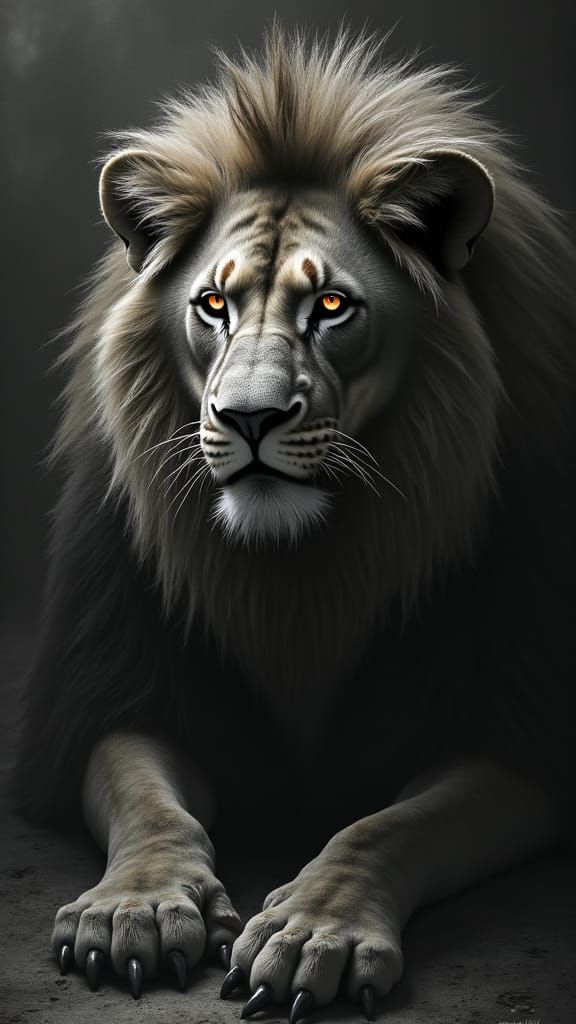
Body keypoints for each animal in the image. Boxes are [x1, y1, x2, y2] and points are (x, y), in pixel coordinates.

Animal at [13, 22, 576, 1022]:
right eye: (212, 304)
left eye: (331, 306)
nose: (248, 419)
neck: (298, 571)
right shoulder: (116, 680)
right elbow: (147, 801)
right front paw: (137, 906)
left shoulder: (518, 726)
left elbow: (388, 826)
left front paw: (318, 928)